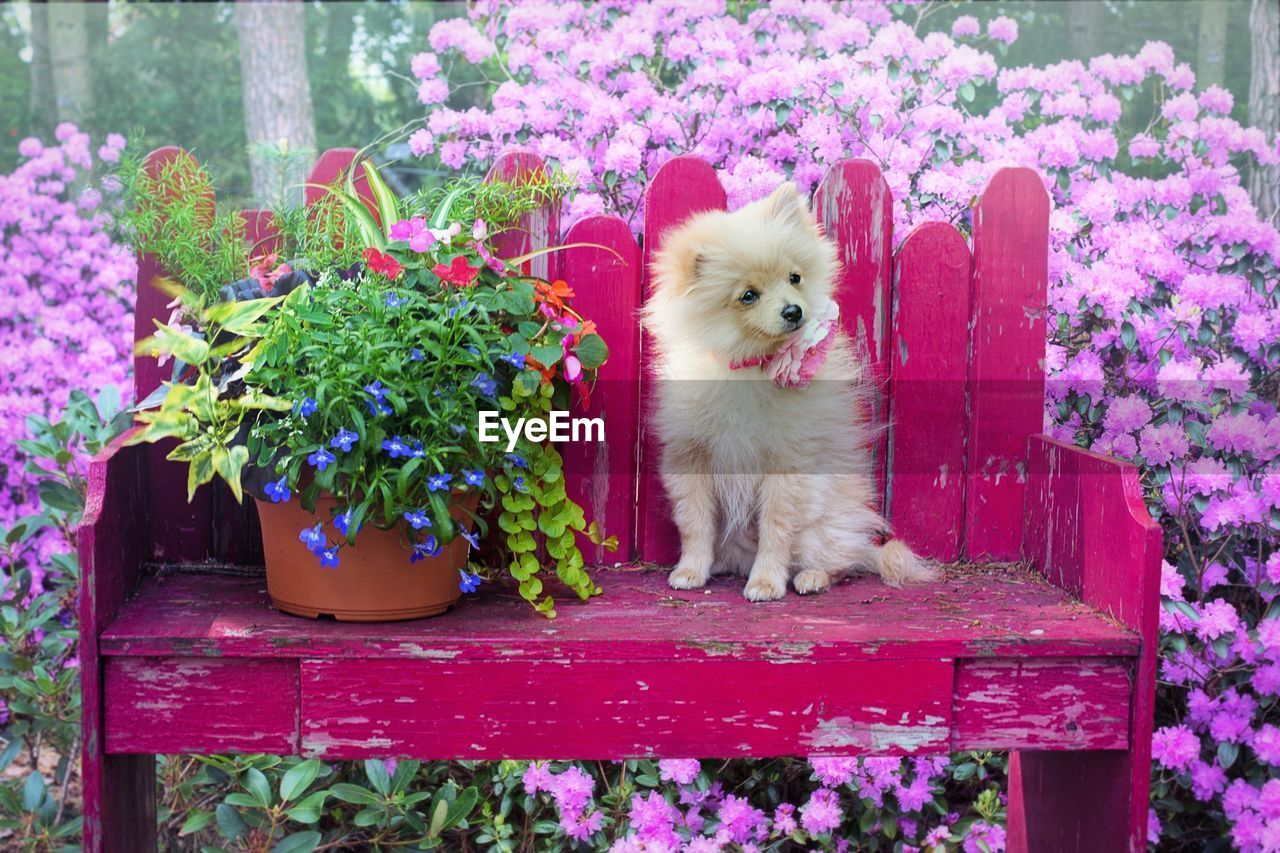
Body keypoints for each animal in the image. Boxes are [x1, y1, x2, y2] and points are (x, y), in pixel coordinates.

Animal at [645, 183, 936, 601]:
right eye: (748, 295)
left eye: (794, 277)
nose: (793, 311)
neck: (748, 368)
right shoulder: (691, 457)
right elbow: (694, 523)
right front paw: (690, 570)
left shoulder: (787, 465)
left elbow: (776, 531)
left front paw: (766, 581)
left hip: (823, 528)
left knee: (839, 561)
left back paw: (812, 577)